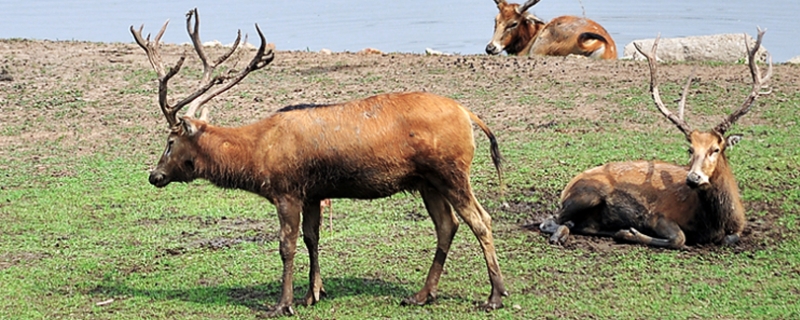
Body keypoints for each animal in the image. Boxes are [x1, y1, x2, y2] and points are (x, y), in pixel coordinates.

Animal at [131, 8, 506, 318]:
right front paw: (313, 293)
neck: (257, 157)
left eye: (170, 142)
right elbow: (312, 239)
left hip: (452, 171)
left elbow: (286, 246)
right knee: (447, 225)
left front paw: (283, 304)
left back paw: (495, 296)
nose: (154, 175)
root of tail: (469, 115)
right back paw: (422, 294)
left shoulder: (286, 190)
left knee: (481, 220)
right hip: (427, 182)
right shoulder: (312, 193)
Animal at [540, 28, 772, 249]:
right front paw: (628, 233)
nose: (693, 178)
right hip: (587, 194)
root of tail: (569, 185)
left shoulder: (739, 227)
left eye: (716, 149)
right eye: (690, 149)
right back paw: (562, 235)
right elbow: (679, 238)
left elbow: (730, 238)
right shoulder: (657, 215)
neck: (715, 221)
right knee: (550, 220)